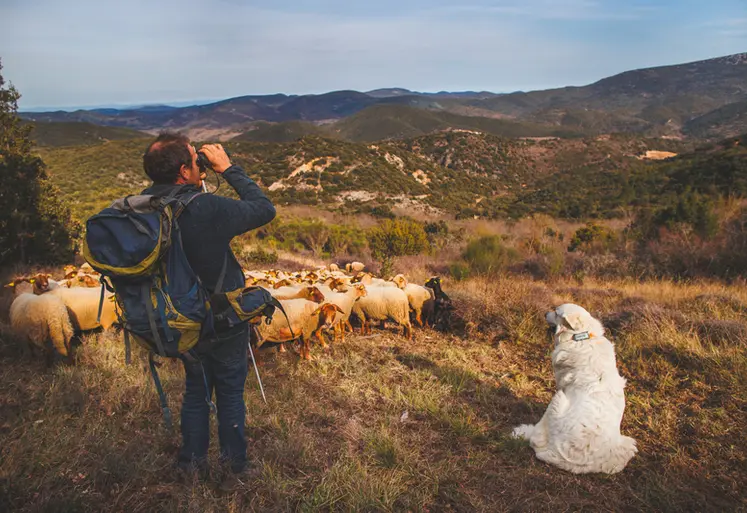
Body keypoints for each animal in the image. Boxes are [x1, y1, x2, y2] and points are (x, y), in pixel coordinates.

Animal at [516, 302, 636, 474]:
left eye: (556, 312)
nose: (545, 313)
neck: (580, 337)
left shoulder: (561, 384)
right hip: (627, 445)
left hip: (558, 398)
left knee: (536, 438)